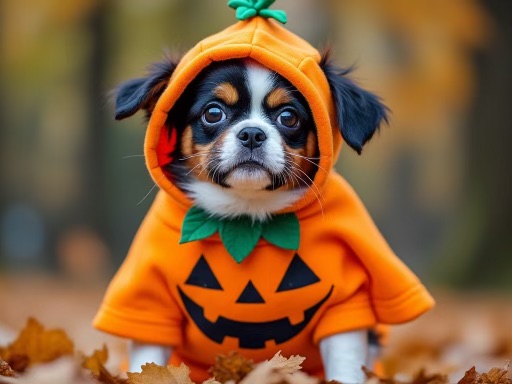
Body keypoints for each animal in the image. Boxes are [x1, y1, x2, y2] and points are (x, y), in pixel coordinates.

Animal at [111, 51, 388, 384]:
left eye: (288, 117)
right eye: (213, 113)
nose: (253, 133)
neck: (246, 216)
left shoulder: (345, 303)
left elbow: (344, 366)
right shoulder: (151, 305)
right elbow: (150, 360)